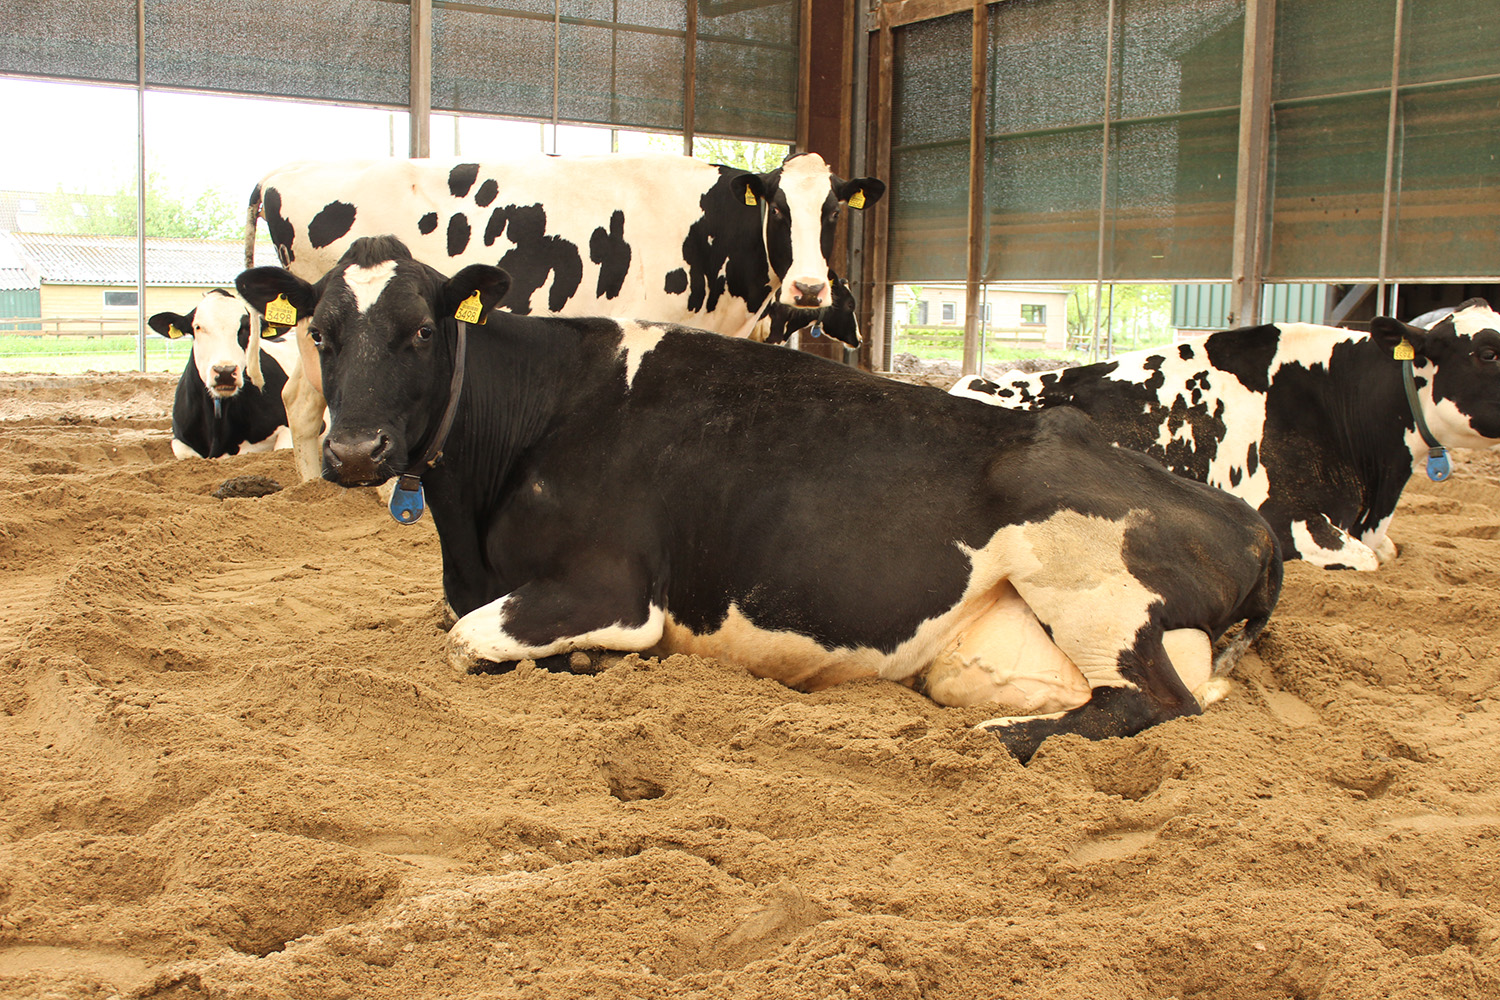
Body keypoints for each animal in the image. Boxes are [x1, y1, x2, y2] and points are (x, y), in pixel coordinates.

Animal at [235, 236, 1282, 762]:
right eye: (321, 332)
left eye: (419, 330)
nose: (356, 450)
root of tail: (1250, 524)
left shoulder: (611, 588)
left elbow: (467, 640)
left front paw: (579, 663)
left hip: (1093, 584)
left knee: (1154, 704)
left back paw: (1004, 740)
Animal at [244, 152, 884, 481]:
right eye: (778, 208)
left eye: (832, 210)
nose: (808, 286)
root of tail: (281, 173)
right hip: (316, 332)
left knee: (300, 402)